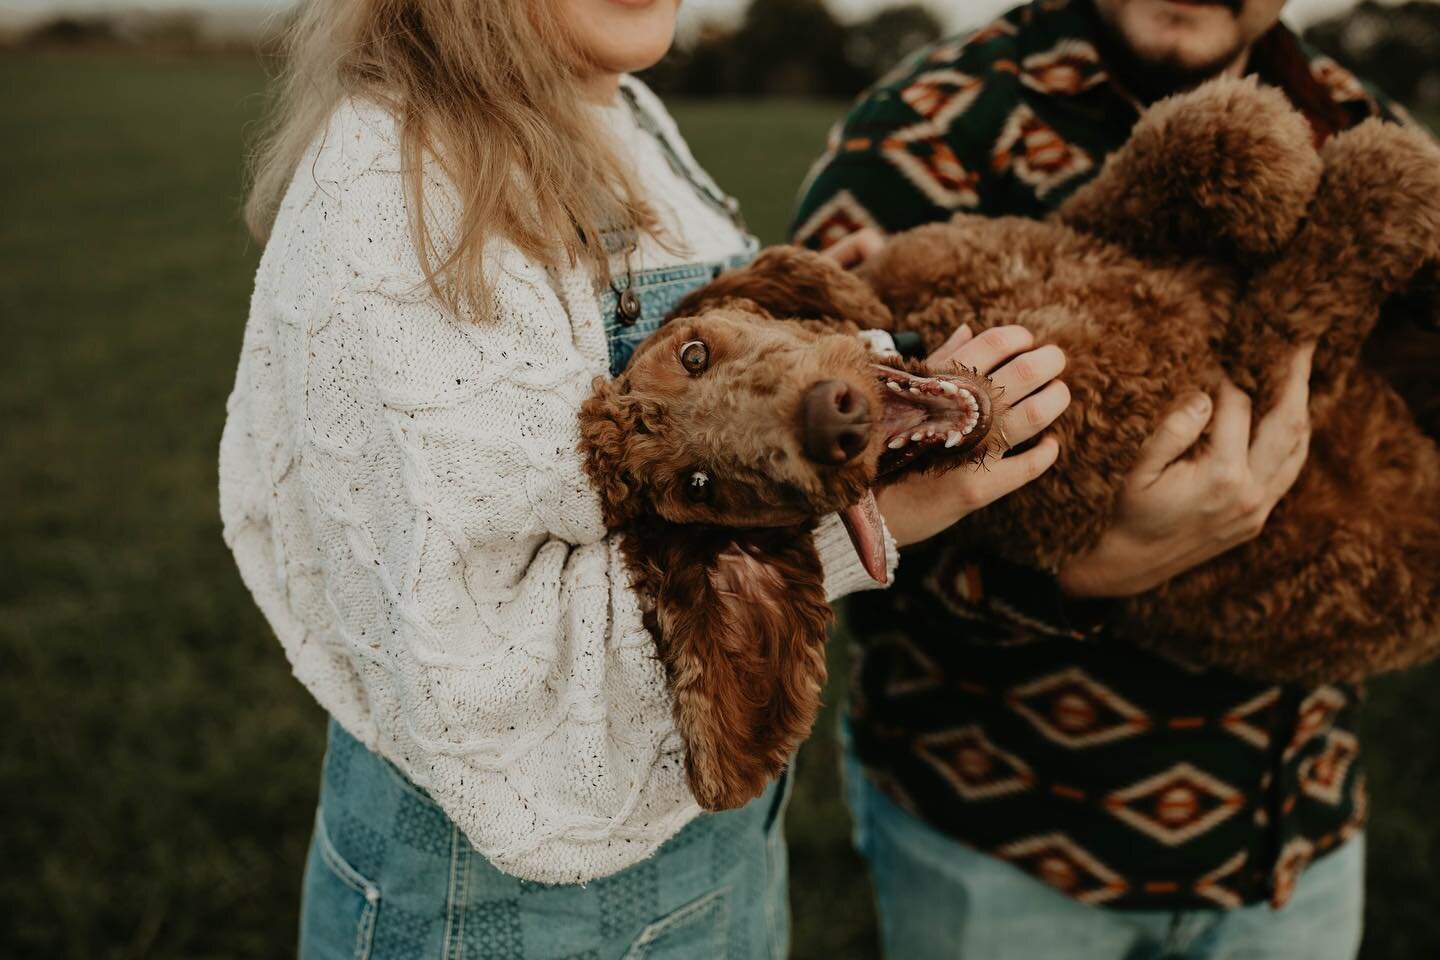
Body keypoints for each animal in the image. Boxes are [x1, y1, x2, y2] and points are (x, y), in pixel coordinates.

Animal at [673, 78, 1440, 687]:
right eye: (712, 486)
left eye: (703, 352)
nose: (824, 423)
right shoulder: (1259, 371)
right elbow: (1317, 276)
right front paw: (1383, 174)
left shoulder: (1086, 230)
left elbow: (1201, 132)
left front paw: (1281, 169)